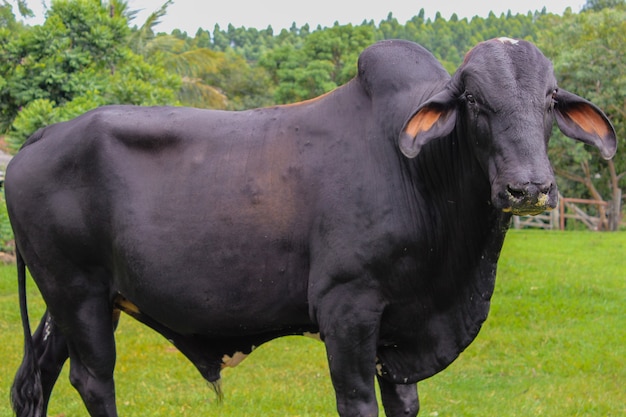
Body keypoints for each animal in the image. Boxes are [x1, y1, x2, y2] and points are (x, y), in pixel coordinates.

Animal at [6, 39, 616, 416]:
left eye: (549, 100)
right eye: (472, 100)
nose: (528, 187)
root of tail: (44, 135)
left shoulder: (400, 335)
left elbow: (405, 402)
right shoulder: (347, 309)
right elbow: (357, 402)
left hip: (73, 301)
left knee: (36, 379)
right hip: (76, 293)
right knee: (93, 380)